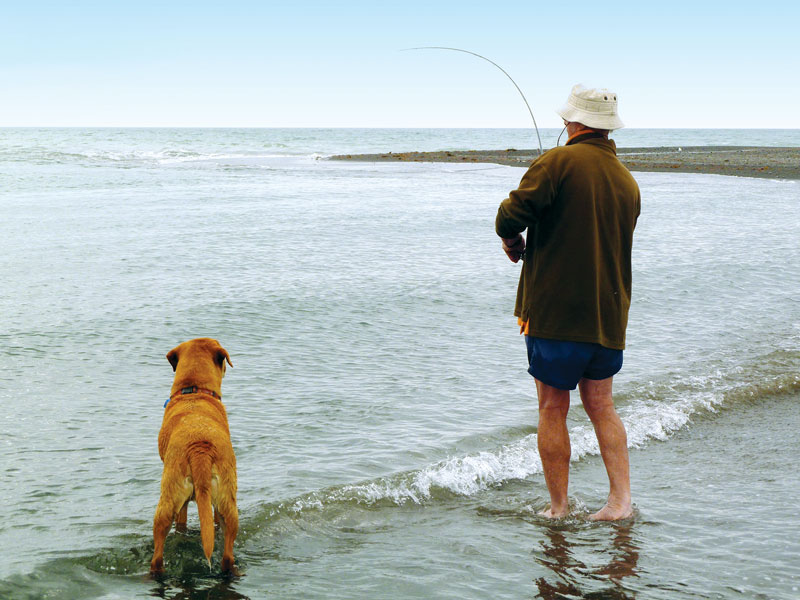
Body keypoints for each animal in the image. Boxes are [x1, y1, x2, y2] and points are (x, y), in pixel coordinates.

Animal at [150, 338, 238, 576]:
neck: (194, 391)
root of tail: (199, 448)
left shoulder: (182, 504)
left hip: (167, 499)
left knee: (157, 555)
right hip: (228, 501)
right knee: (227, 554)